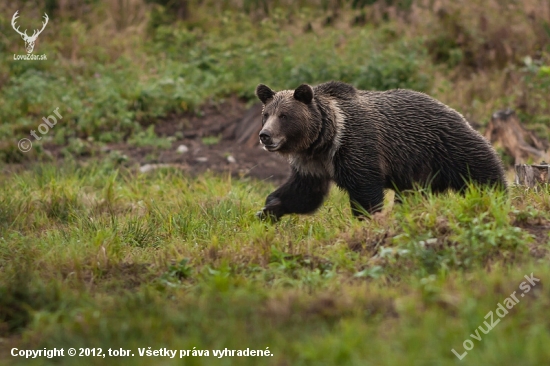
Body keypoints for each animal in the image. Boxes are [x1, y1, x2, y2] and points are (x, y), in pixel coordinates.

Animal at [254, 81, 508, 219]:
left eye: (284, 116)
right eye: (266, 114)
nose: (265, 135)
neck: (323, 141)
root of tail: (454, 111)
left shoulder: (355, 147)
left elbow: (365, 191)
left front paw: (366, 218)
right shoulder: (312, 164)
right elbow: (304, 193)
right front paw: (268, 209)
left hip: (446, 145)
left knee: (481, 170)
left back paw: (497, 195)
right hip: (421, 172)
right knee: (413, 195)